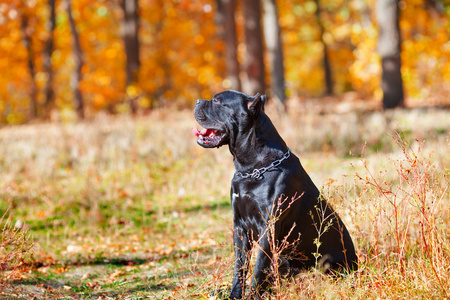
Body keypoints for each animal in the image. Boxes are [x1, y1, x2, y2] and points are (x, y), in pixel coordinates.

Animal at [192, 90, 356, 298]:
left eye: (218, 101)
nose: (197, 101)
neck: (251, 168)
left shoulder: (268, 227)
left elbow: (258, 268)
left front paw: (252, 296)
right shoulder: (239, 227)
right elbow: (240, 266)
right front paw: (234, 295)